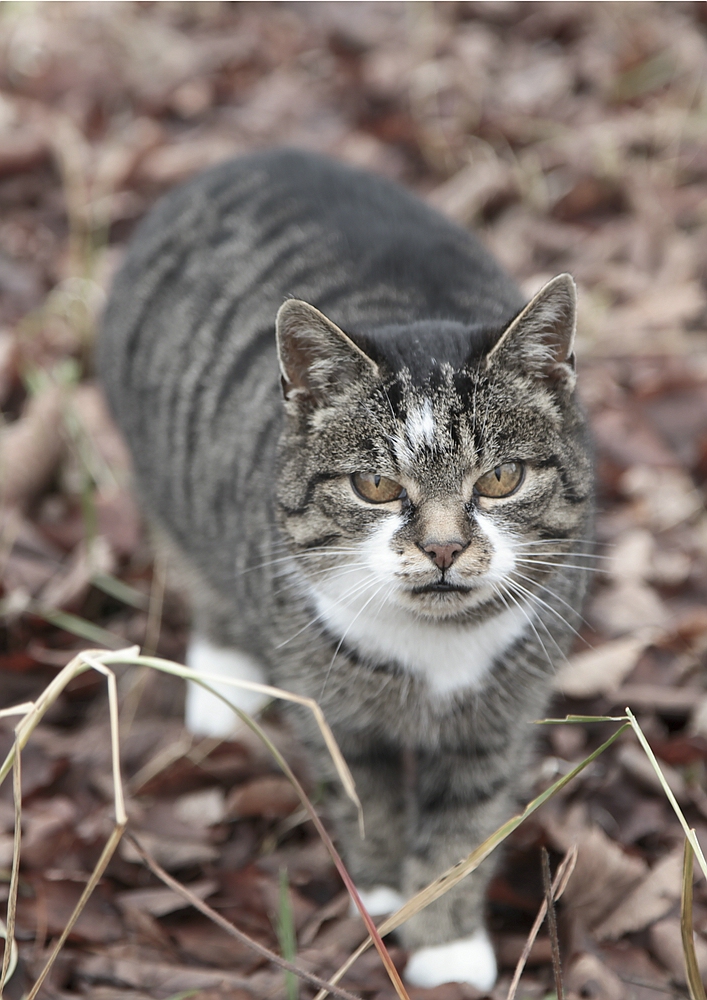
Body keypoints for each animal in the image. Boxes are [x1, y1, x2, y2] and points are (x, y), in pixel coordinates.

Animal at [99, 150, 596, 992]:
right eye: (375, 486)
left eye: (499, 479)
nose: (441, 548)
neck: (436, 646)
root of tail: (252, 156)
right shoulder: (329, 707)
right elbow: (362, 795)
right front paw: (389, 892)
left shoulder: (501, 715)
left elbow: (467, 818)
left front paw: (446, 945)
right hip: (164, 480)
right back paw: (225, 678)